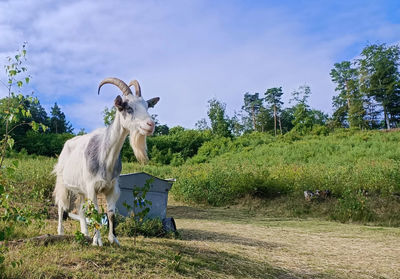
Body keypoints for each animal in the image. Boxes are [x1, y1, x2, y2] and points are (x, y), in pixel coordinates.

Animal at [52, 77, 159, 246]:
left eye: (147, 106)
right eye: (128, 107)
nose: (150, 125)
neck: (105, 159)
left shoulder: (112, 188)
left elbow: (110, 213)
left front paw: (113, 239)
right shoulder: (92, 187)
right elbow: (96, 212)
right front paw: (98, 241)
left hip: (81, 189)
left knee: (81, 208)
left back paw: (85, 232)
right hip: (63, 182)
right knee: (62, 206)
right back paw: (61, 232)